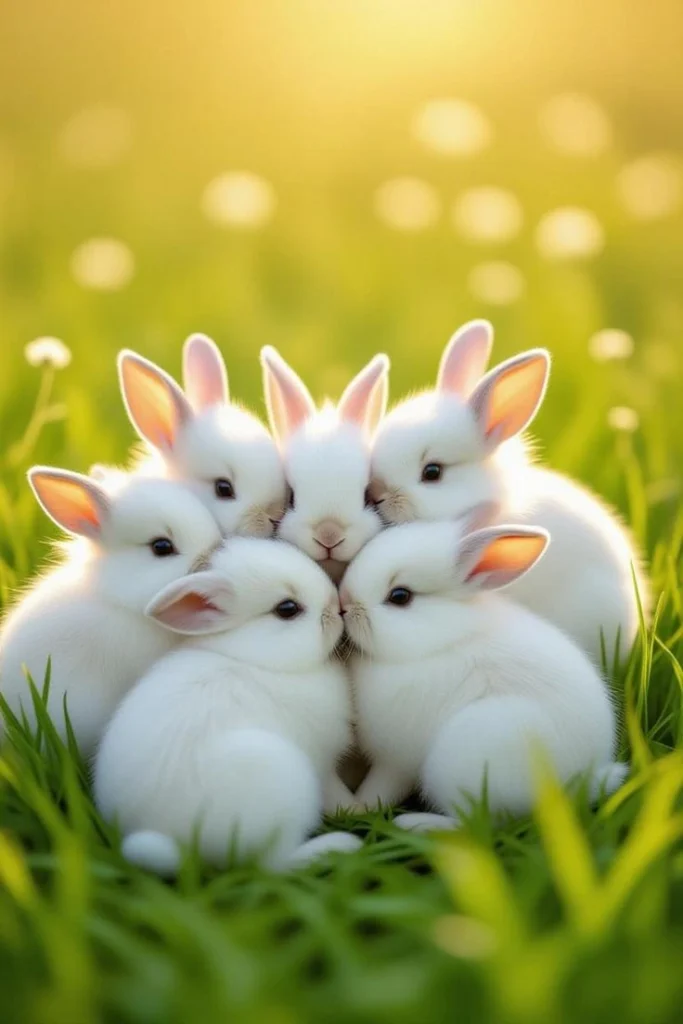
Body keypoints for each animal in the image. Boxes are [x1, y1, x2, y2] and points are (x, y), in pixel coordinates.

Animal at [94, 537, 360, 874]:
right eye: (287, 609)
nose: (336, 606)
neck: (253, 656)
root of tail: (178, 840)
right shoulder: (322, 760)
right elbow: (334, 790)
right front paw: (358, 808)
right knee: (272, 865)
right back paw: (339, 845)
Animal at [340, 520, 628, 829]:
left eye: (400, 596)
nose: (344, 602)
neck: (444, 639)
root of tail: (577, 783)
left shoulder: (396, 758)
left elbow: (383, 785)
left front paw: (360, 806)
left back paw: (416, 824)